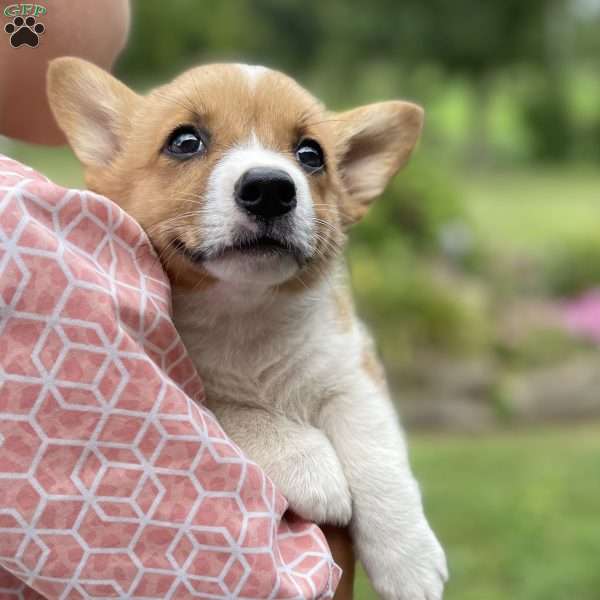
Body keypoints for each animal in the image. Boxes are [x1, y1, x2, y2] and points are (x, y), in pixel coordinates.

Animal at [49, 57, 448, 600]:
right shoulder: (176, 379)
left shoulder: (353, 370)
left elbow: (378, 453)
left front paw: (410, 560)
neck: (245, 314)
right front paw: (311, 464)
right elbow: (236, 411)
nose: (271, 188)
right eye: (185, 141)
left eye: (310, 154)